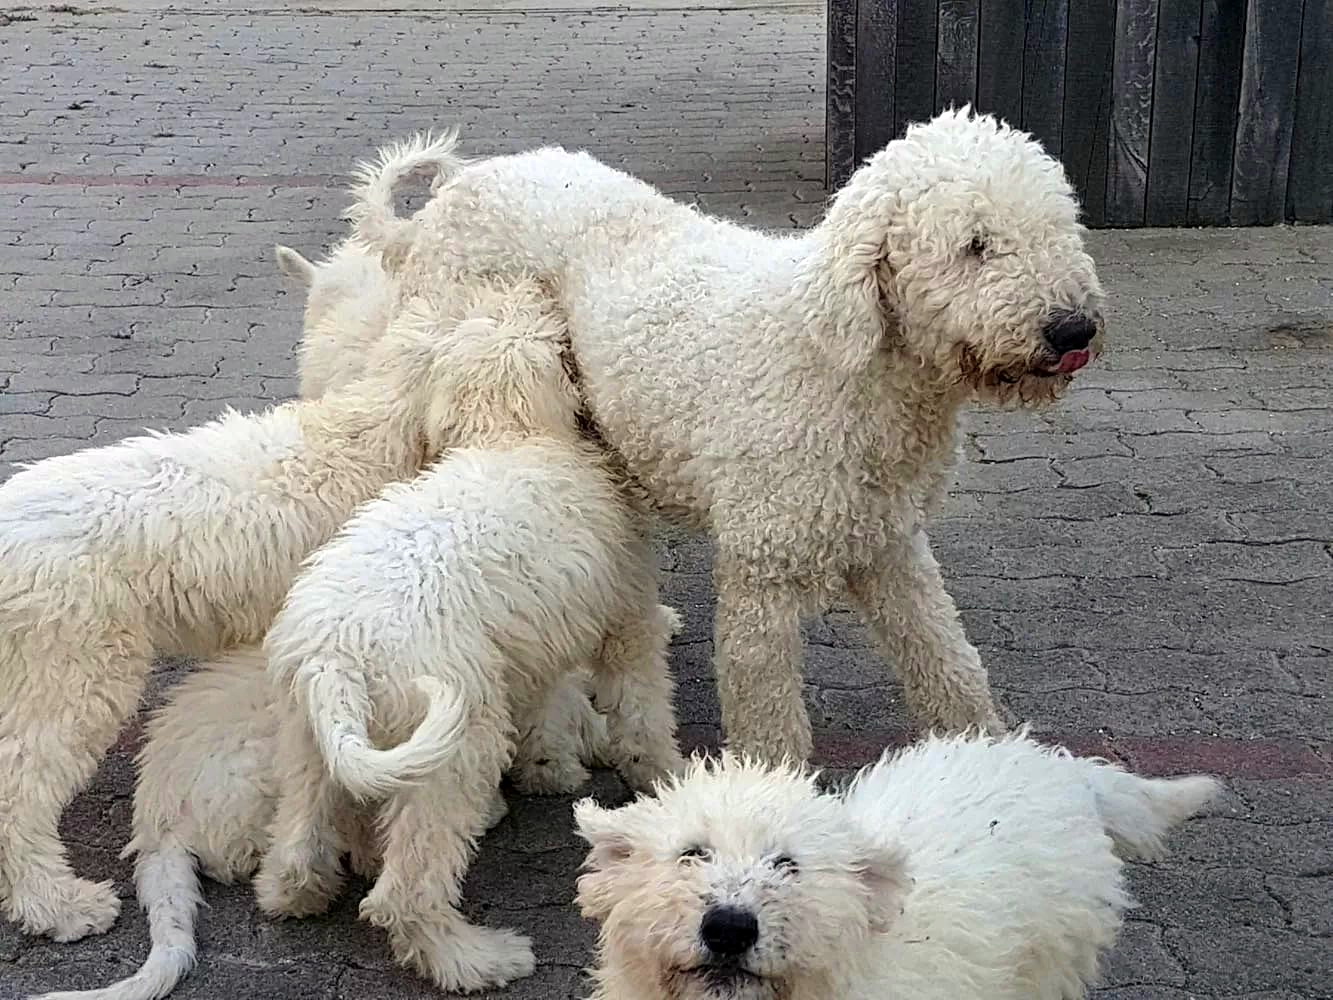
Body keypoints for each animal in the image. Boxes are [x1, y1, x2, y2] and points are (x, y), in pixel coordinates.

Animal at [253, 276, 685, 993]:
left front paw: (551, 768)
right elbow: (643, 713)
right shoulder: (626, 620)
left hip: (306, 738)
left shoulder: (539, 639)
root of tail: (337, 655)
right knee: (406, 892)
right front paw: (670, 775)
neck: (510, 437)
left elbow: (550, 706)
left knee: (300, 836)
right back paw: (476, 958)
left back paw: (295, 895)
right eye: (548, 330)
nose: (532, 283)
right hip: (455, 744)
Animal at [360, 109, 1107, 762]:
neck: (842, 358)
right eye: (974, 246)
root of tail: (446, 199)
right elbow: (766, 712)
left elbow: (946, 661)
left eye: (1060, 226)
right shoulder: (761, 569)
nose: (1072, 329)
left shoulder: (891, 543)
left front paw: (990, 759)